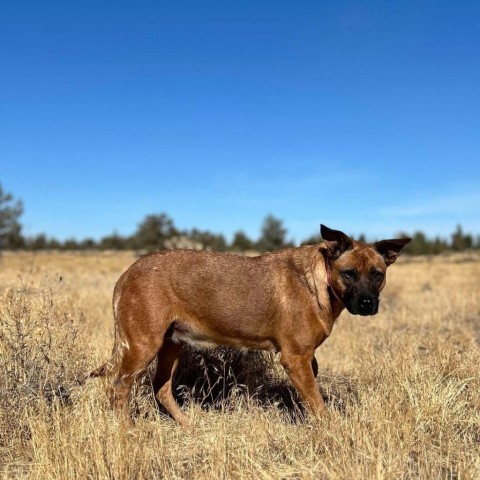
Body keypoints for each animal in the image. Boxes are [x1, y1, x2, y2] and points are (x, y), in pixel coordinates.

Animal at [89, 223, 408, 426]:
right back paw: (128, 431)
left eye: (377, 274)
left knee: (161, 388)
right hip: (144, 344)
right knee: (117, 387)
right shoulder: (295, 358)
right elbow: (318, 403)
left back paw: (188, 424)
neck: (322, 281)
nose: (367, 304)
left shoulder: (308, 360)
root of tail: (127, 274)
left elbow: (310, 398)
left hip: (170, 343)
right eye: (349, 273)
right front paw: (331, 433)